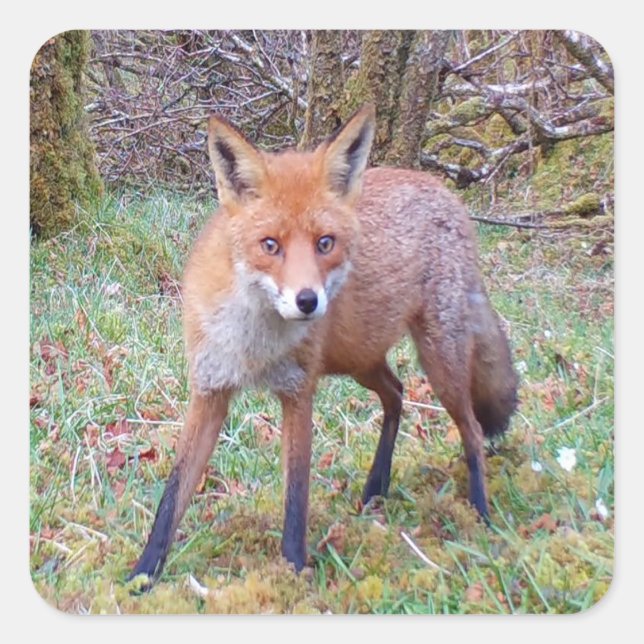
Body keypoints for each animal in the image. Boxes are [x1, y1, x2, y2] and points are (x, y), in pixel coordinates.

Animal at [129, 104, 518, 585]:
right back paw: (376, 488)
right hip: (360, 360)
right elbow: (173, 492)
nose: (308, 301)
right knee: (397, 394)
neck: (254, 343)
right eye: (270, 245)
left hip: (438, 362)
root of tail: (444, 193)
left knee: (473, 430)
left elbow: (296, 493)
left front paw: (294, 571)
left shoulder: (298, 391)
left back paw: (480, 513)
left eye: (324, 243)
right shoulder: (209, 388)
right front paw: (142, 576)